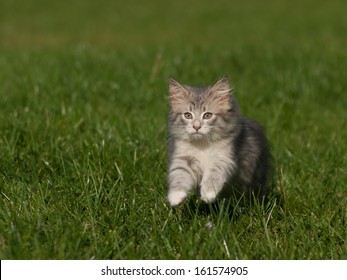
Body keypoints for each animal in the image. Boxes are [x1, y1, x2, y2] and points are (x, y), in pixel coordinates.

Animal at [167, 77, 272, 207]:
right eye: (188, 115)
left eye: (207, 115)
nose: (196, 127)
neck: (202, 144)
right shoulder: (184, 158)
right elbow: (179, 174)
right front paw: (176, 196)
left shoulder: (224, 157)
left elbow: (214, 173)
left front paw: (208, 194)